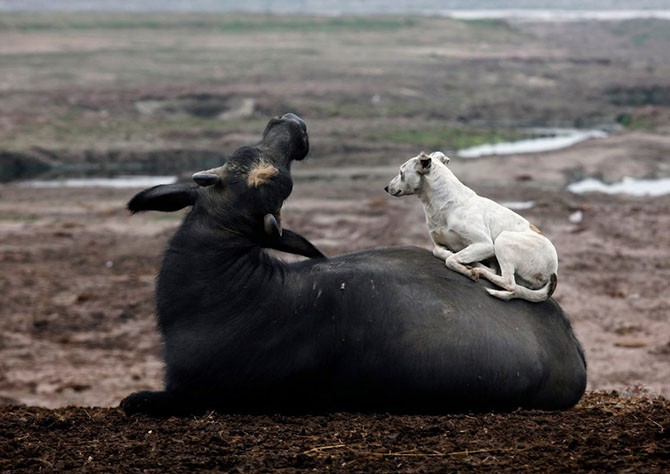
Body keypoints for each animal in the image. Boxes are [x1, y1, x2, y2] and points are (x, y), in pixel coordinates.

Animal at [386, 150, 560, 302]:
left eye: (401, 172)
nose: (386, 188)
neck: (445, 204)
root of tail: (553, 271)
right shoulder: (439, 243)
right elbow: (439, 251)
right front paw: (455, 256)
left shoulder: (485, 245)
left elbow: (451, 260)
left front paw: (466, 268)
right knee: (507, 280)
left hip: (503, 239)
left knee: (508, 282)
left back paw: (479, 270)